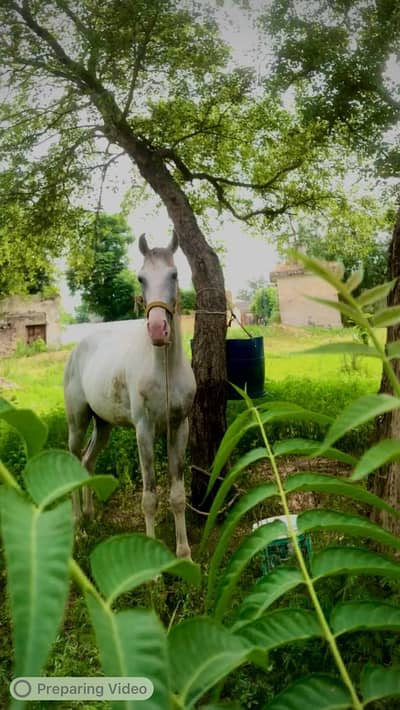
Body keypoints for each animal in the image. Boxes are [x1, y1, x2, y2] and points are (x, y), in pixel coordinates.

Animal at [63, 232, 196, 559]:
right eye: (141, 278)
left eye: (174, 274)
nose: (158, 329)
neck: (164, 369)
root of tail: (78, 347)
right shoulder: (144, 430)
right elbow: (149, 497)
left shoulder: (179, 426)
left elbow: (177, 494)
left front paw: (185, 555)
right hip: (77, 422)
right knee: (74, 460)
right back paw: (78, 527)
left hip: (103, 425)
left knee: (87, 460)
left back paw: (90, 516)